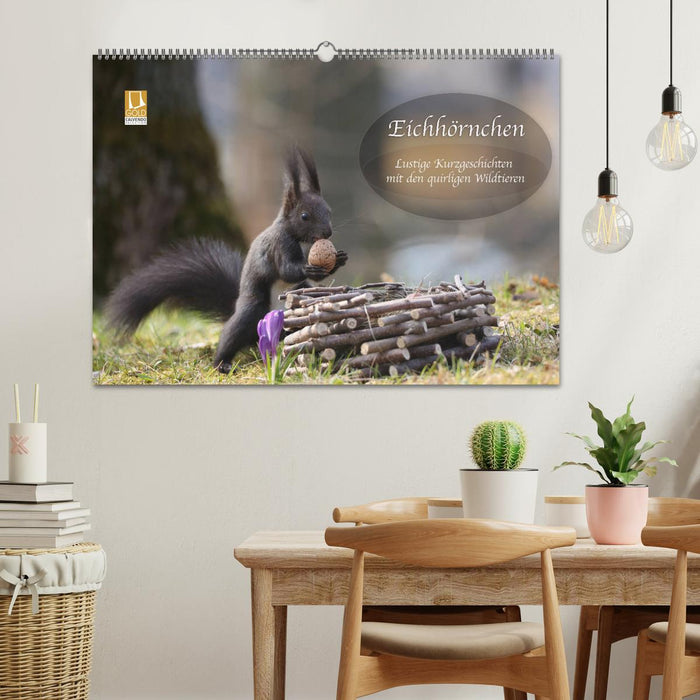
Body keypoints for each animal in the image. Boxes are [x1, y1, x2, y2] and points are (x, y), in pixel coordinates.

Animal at [105, 147, 347, 373]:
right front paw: (311, 269)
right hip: (252, 310)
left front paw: (339, 260)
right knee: (232, 334)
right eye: (304, 216)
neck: (292, 234)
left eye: (329, 211)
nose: (327, 233)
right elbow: (287, 269)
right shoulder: (278, 245)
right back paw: (222, 363)